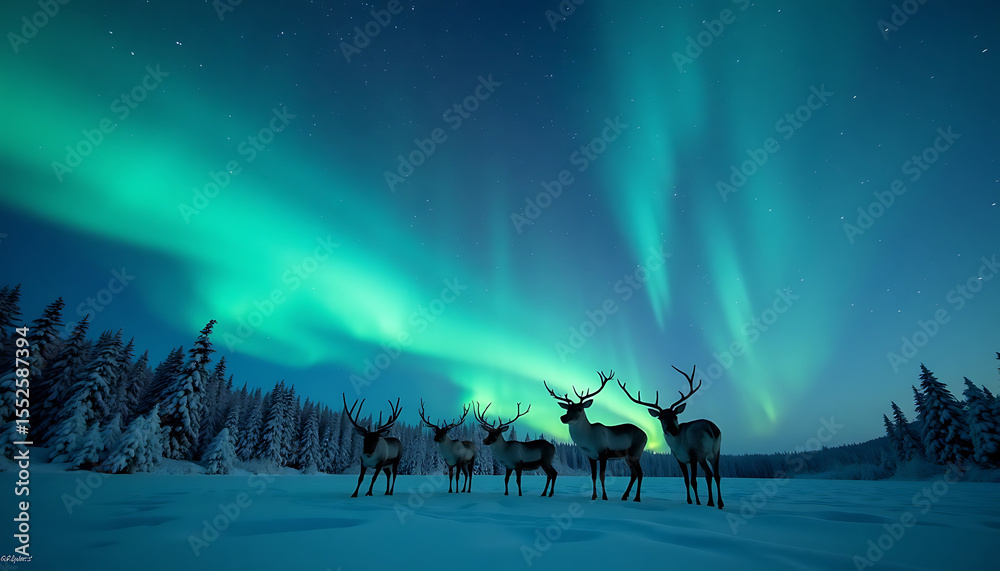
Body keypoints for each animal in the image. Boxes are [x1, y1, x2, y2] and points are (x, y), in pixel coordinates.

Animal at [544, 370, 647, 501]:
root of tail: (646, 435)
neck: (588, 440)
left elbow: (602, 476)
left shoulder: (604, 453)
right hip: (627, 457)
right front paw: (594, 496)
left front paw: (604, 496)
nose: (563, 417)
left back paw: (637, 498)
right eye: (567, 409)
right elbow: (593, 476)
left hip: (636, 452)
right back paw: (625, 496)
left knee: (640, 473)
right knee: (634, 474)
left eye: (579, 409)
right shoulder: (591, 456)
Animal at [619, 365, 723, 509]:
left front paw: (695, 502)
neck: (676, 443)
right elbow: (686, 480)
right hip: (715, 452)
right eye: (661, 418)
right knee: (716, 475)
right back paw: (718, 503)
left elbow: (692, 480)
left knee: (708, 474)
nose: (673, 430)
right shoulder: (681, 458)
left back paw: (710, 502)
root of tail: (711, 429)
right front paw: (690, 501)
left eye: (675, 416)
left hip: (700, 452)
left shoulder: (689, 456)